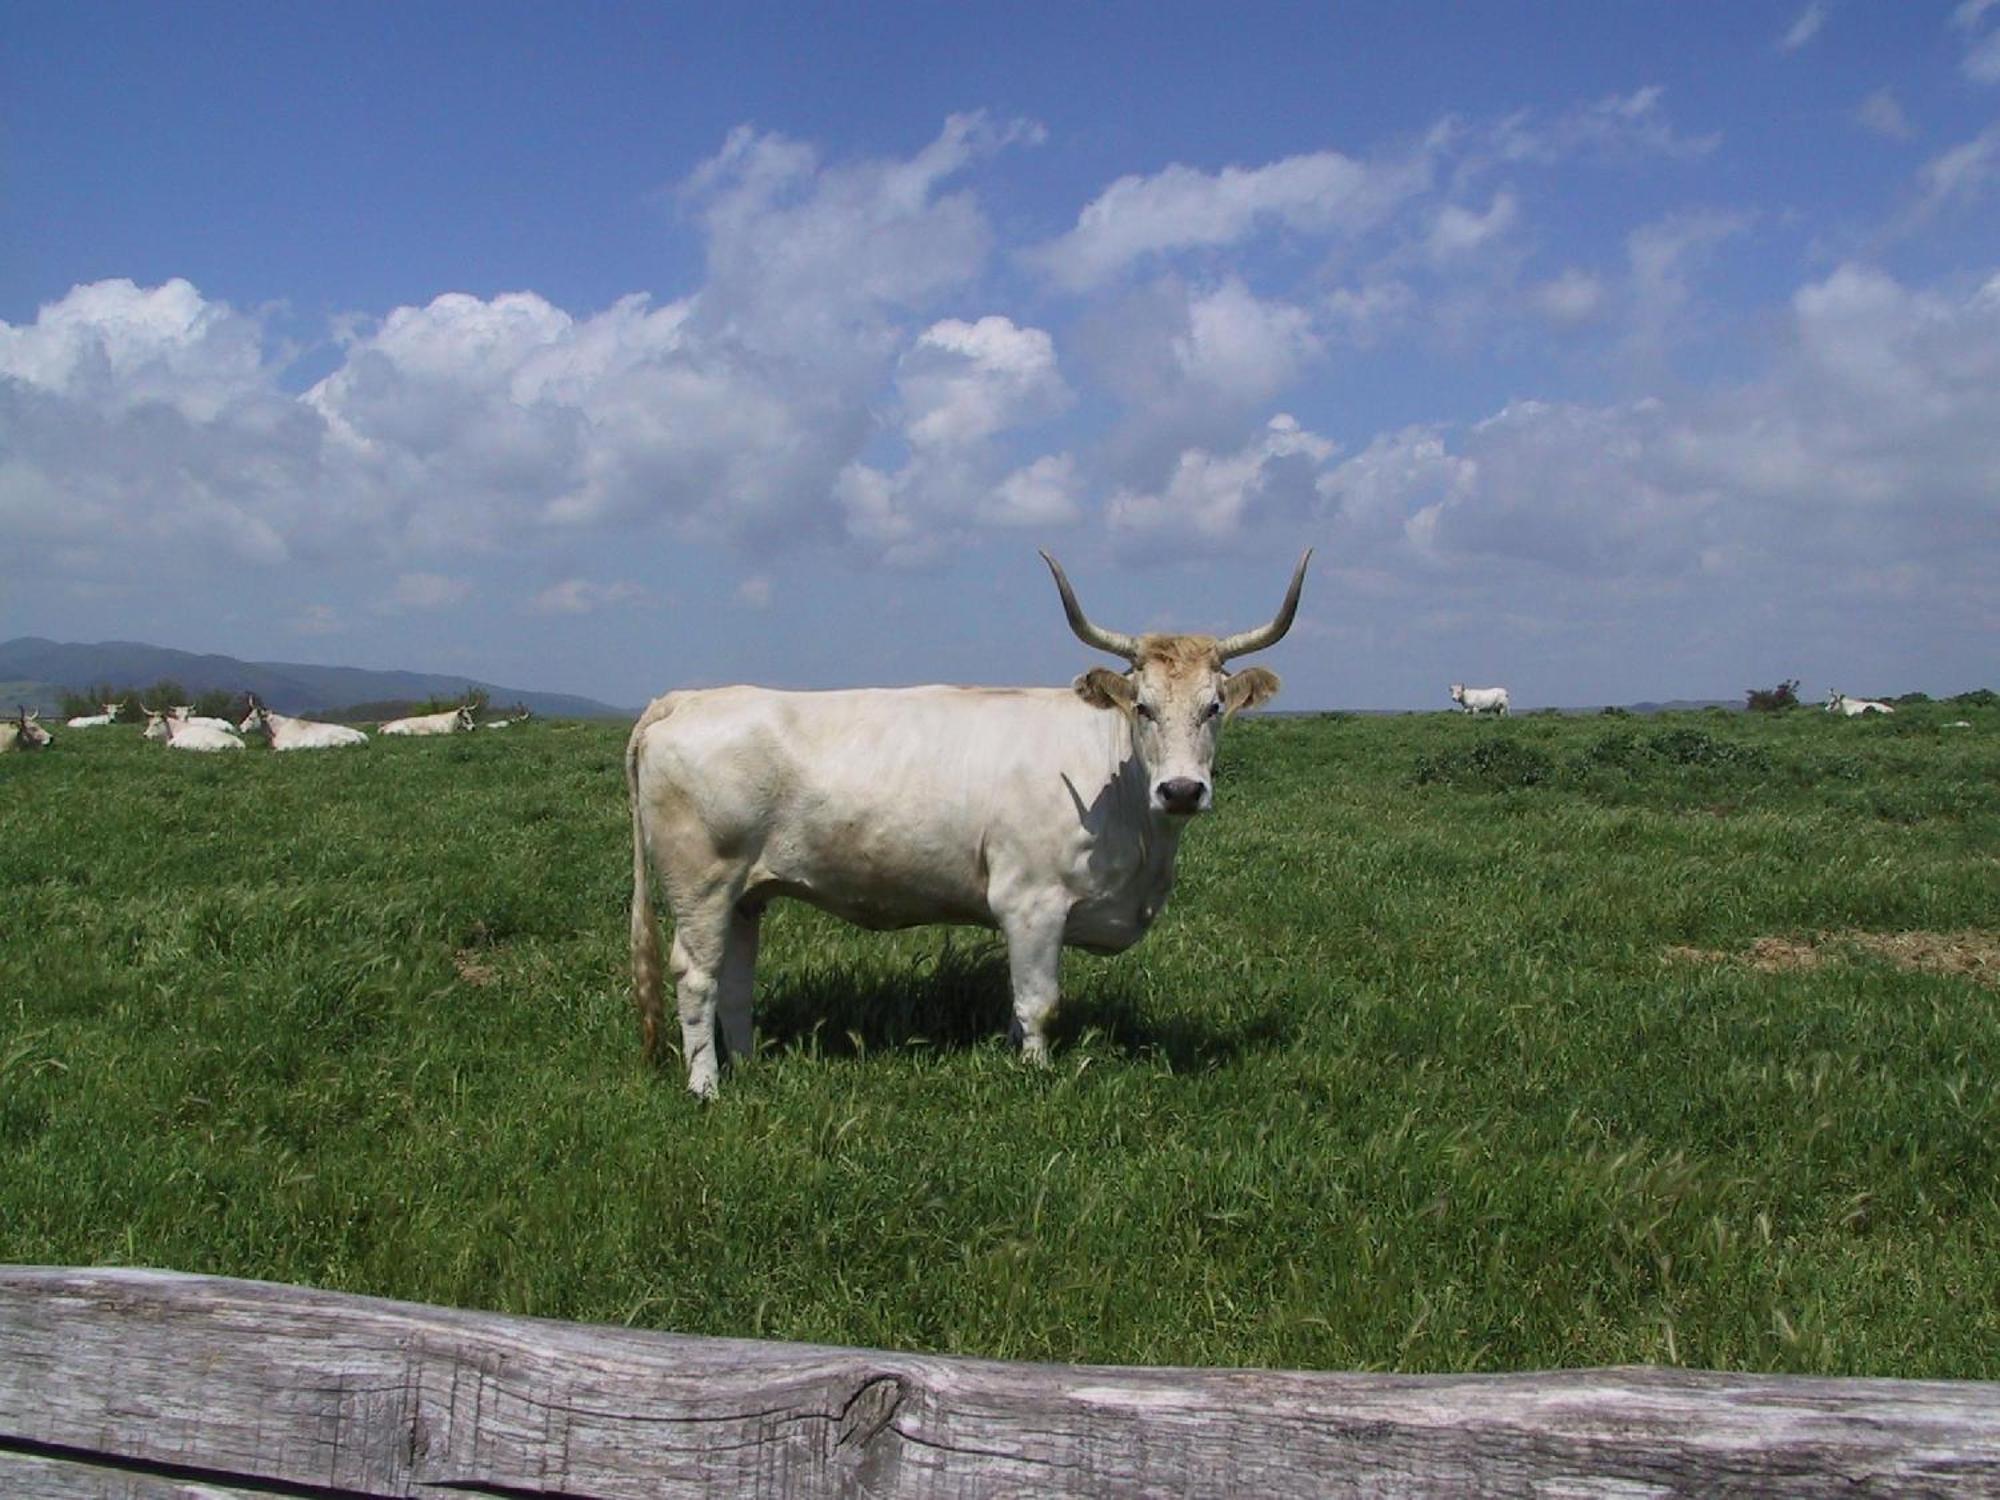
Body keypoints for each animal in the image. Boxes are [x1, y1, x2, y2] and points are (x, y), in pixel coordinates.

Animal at [628, 548, 1312, 1096]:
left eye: (1215, 706)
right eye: (1142, 707)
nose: (1181, 790)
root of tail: (687, 699)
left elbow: (1018, 1005)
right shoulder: (1031, 902)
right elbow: (1039, 1003)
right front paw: (1036, 1077)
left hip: (746, 893)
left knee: (735, 982)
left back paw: (749, 1066)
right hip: (703, 883)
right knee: (697, 978)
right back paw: (707, 1088)